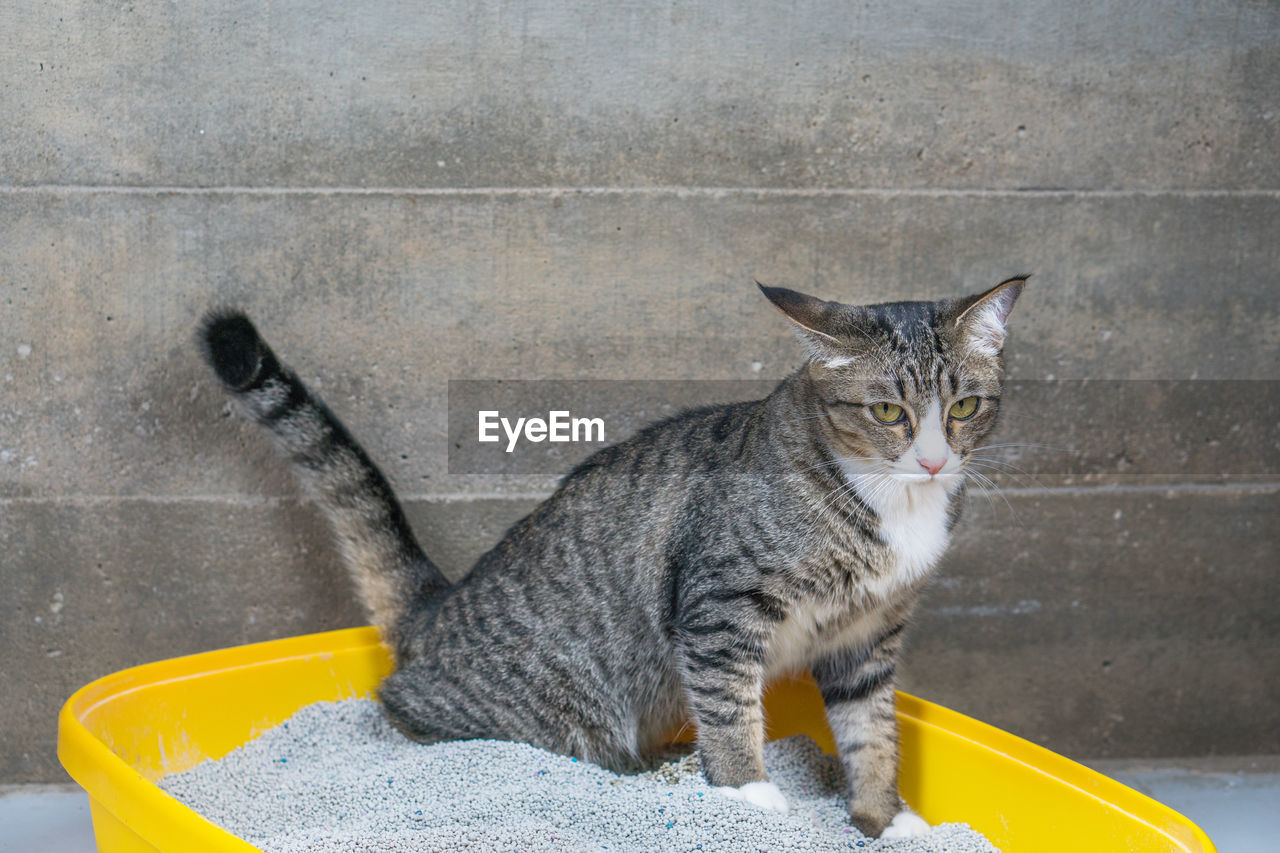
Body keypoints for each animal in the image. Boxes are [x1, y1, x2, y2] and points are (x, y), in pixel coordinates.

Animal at [199, 275, 1024, 835]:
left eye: (964, 407)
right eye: (887, 410)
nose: (933, 460)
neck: (889, 503)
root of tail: (442, 602)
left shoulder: (869, 636)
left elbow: (871, 731)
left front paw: (885, 816)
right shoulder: (719, 607)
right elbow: (730, 709)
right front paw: (746, 794)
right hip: (534, 708)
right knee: (403, 709)